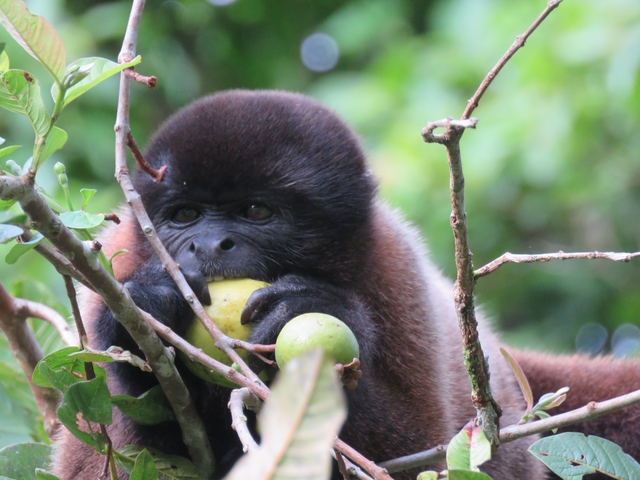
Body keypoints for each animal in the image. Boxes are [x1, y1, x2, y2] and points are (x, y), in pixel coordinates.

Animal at [51, 90, 640, 480]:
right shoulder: (117, 263)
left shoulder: (395, 270)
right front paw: (149, 309)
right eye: (184, 216)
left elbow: (425, 445)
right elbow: (107, 454)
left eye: (256, 211)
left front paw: (303, 306)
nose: (209, 245)